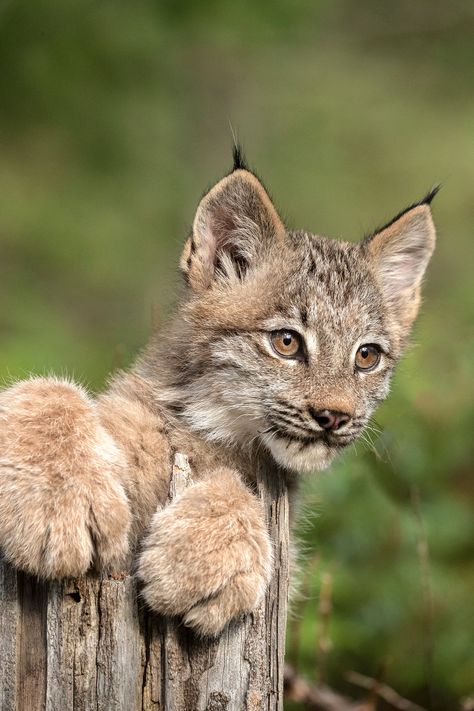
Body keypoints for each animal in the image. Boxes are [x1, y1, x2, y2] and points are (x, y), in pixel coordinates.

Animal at [0, 150, 436, 636]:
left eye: (366, 357)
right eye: (286, 342)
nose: (335, 416)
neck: (210, 426)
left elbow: (237, 483)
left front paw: (200, 563)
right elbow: (50, 389)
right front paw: (58, 503)